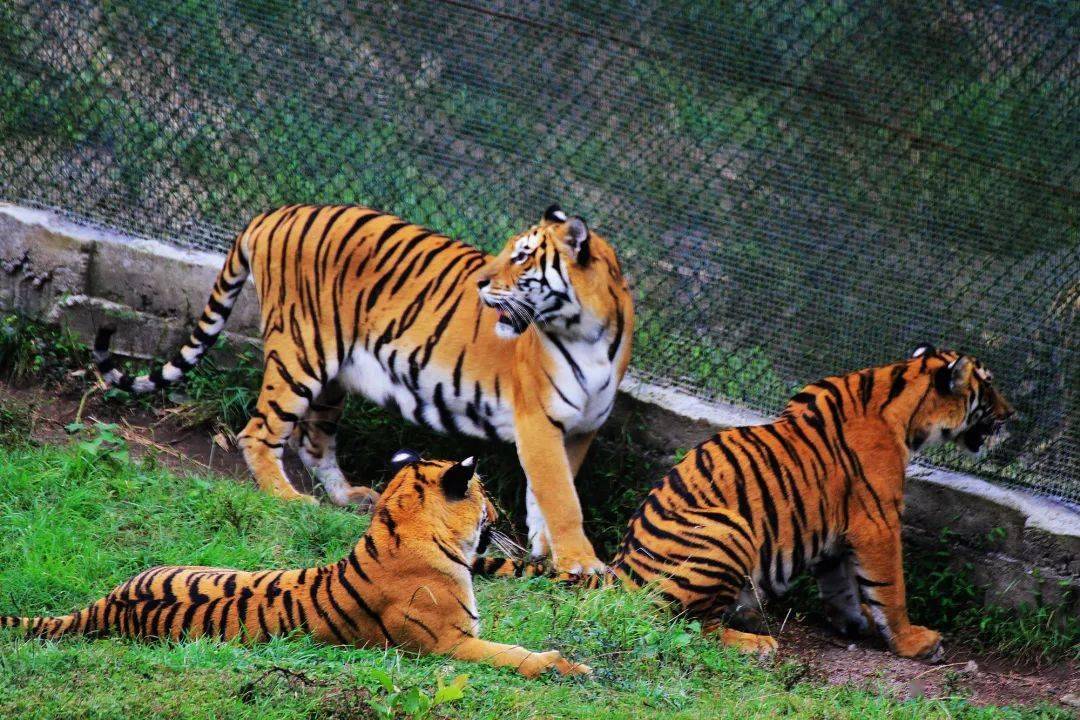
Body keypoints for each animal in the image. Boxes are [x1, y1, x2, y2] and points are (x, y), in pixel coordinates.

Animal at [0, 453, 591, 677]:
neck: (399, 525)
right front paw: (569, 666)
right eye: (484, 492)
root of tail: (109, 603)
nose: (502, 513)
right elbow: (516, 655)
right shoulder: (449, 644)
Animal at [95, 205, 630, 578]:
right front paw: (581, 561)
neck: (590, 331)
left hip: (334, 373)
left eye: (521, 258)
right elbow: (562, 497)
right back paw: (288, 499)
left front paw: (547, 550)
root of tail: (273, 214)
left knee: (312, 441)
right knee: (260, 431)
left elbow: (549, 494)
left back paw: (349, 496)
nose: (480, 283)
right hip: (300, 353)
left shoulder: (578, 430)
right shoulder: (538, 420)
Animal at [477, 345, 1015, 660]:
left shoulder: (839, 534)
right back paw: (758, 641)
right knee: (687, 624)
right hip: (727, 530)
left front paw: (853, 622)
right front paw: (914, 642)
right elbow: (891, 588)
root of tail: (622, 569)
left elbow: (842, 583)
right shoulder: (877, 523)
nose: (1011, 416)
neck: (902, 399)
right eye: (987, 386)